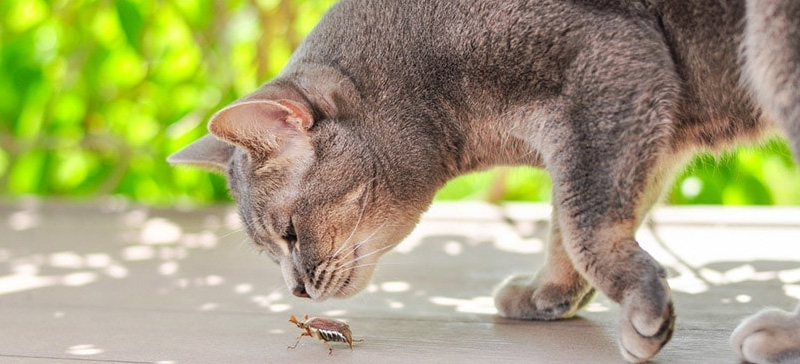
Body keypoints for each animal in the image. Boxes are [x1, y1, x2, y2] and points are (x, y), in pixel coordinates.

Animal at [169, 1, 800, 362]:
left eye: (291, 235)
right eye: (268, 250)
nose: (296, 291)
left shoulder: (612, 64)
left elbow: (584, 222)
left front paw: (640, 306)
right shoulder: (639, 127)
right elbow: (570, 219)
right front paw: (551, 292)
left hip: (773, 44)